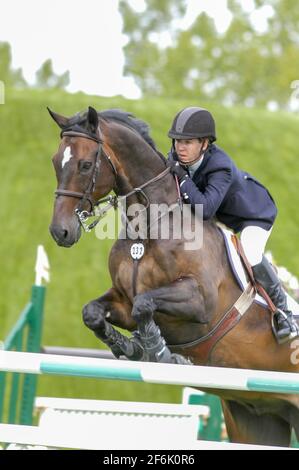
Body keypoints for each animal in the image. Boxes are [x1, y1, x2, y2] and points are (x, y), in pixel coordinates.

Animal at [48, 104, 299, 446]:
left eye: (86, 164)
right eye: (55, 161)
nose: (60, 231)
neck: (149, 227)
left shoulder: (199, 302)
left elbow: (144, 303)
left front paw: (160, 352)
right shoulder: (121, 299)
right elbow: (94, 313)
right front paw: (129, 347)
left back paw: (286, 322)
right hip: (256, 415)